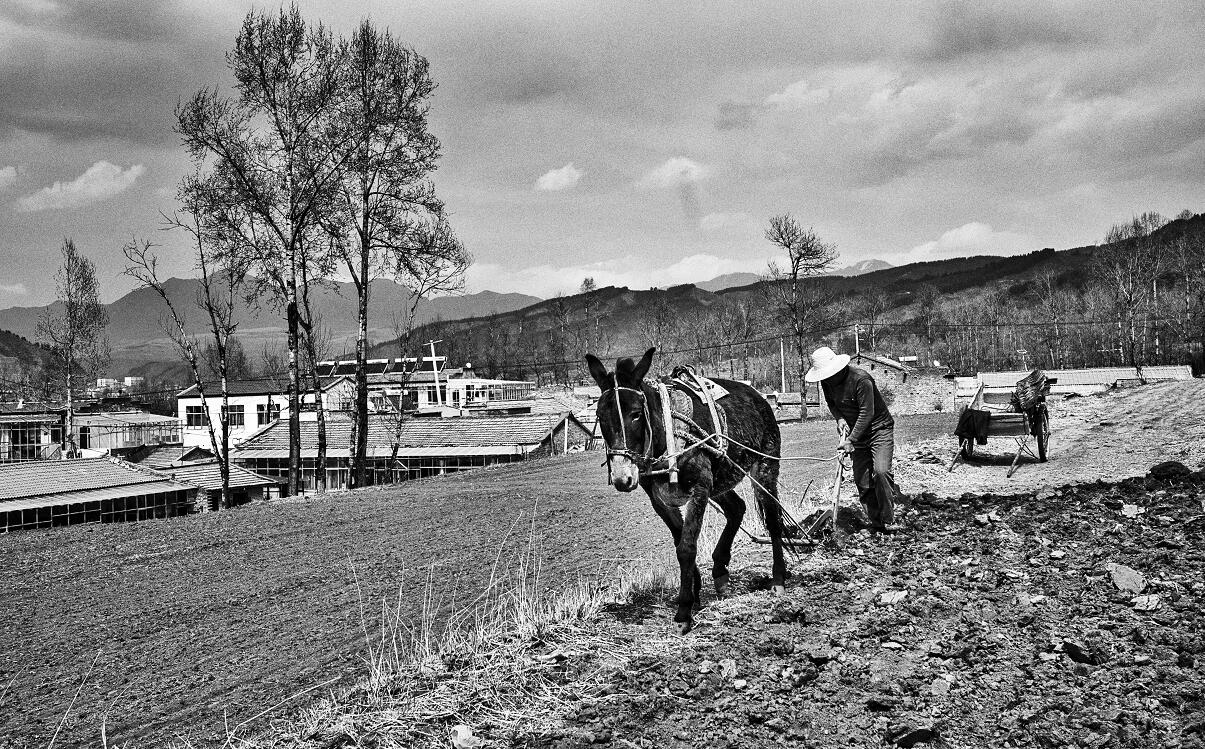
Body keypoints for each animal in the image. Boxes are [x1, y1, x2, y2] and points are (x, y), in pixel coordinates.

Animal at [586, 347, 788, 634]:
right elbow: (679, 540)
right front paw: (695, 590)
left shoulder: (699, 491)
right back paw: (720, 571)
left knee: (772, 519)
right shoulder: (660, 500)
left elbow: (687, 547)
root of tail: (758, 396)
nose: (622, 478)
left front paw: (683, 611)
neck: (668, 437)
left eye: (636, 414)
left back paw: (778, 578)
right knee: (737, 509)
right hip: (721, 481)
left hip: (764, 469)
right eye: (601, 417)